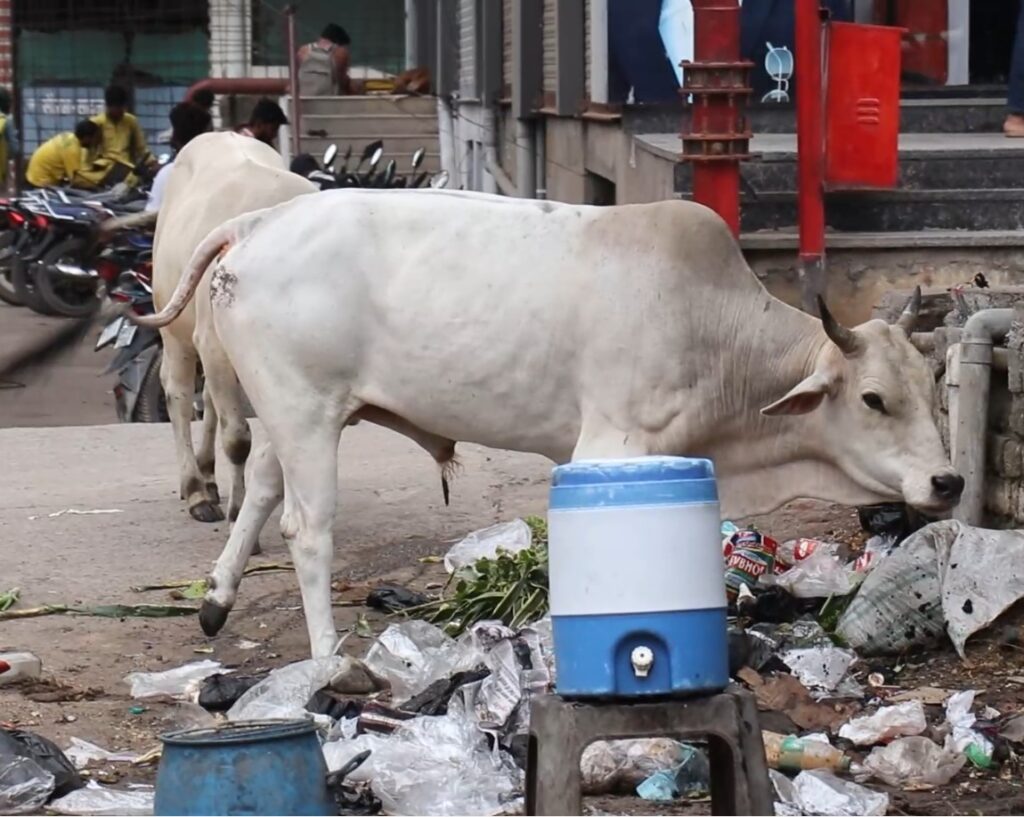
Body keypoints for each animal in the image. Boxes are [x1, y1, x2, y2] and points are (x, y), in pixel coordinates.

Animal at [134, 189, 961, 658]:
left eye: (931, 387)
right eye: (873, 398)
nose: (948, 480)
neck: (710, 323)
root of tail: (257, 221)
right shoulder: (612, 442)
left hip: (293, 412)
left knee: (261, 489)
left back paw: (217, 600)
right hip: (305, 412)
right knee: (307, 529)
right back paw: (330, 658)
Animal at [144, 131, 316, 524]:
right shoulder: (213, 346)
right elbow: (238, 438)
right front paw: (239, 511)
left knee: (208, 400)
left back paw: (208, 477)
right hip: (175, 332)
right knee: (178, 395)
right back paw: (195, 489)